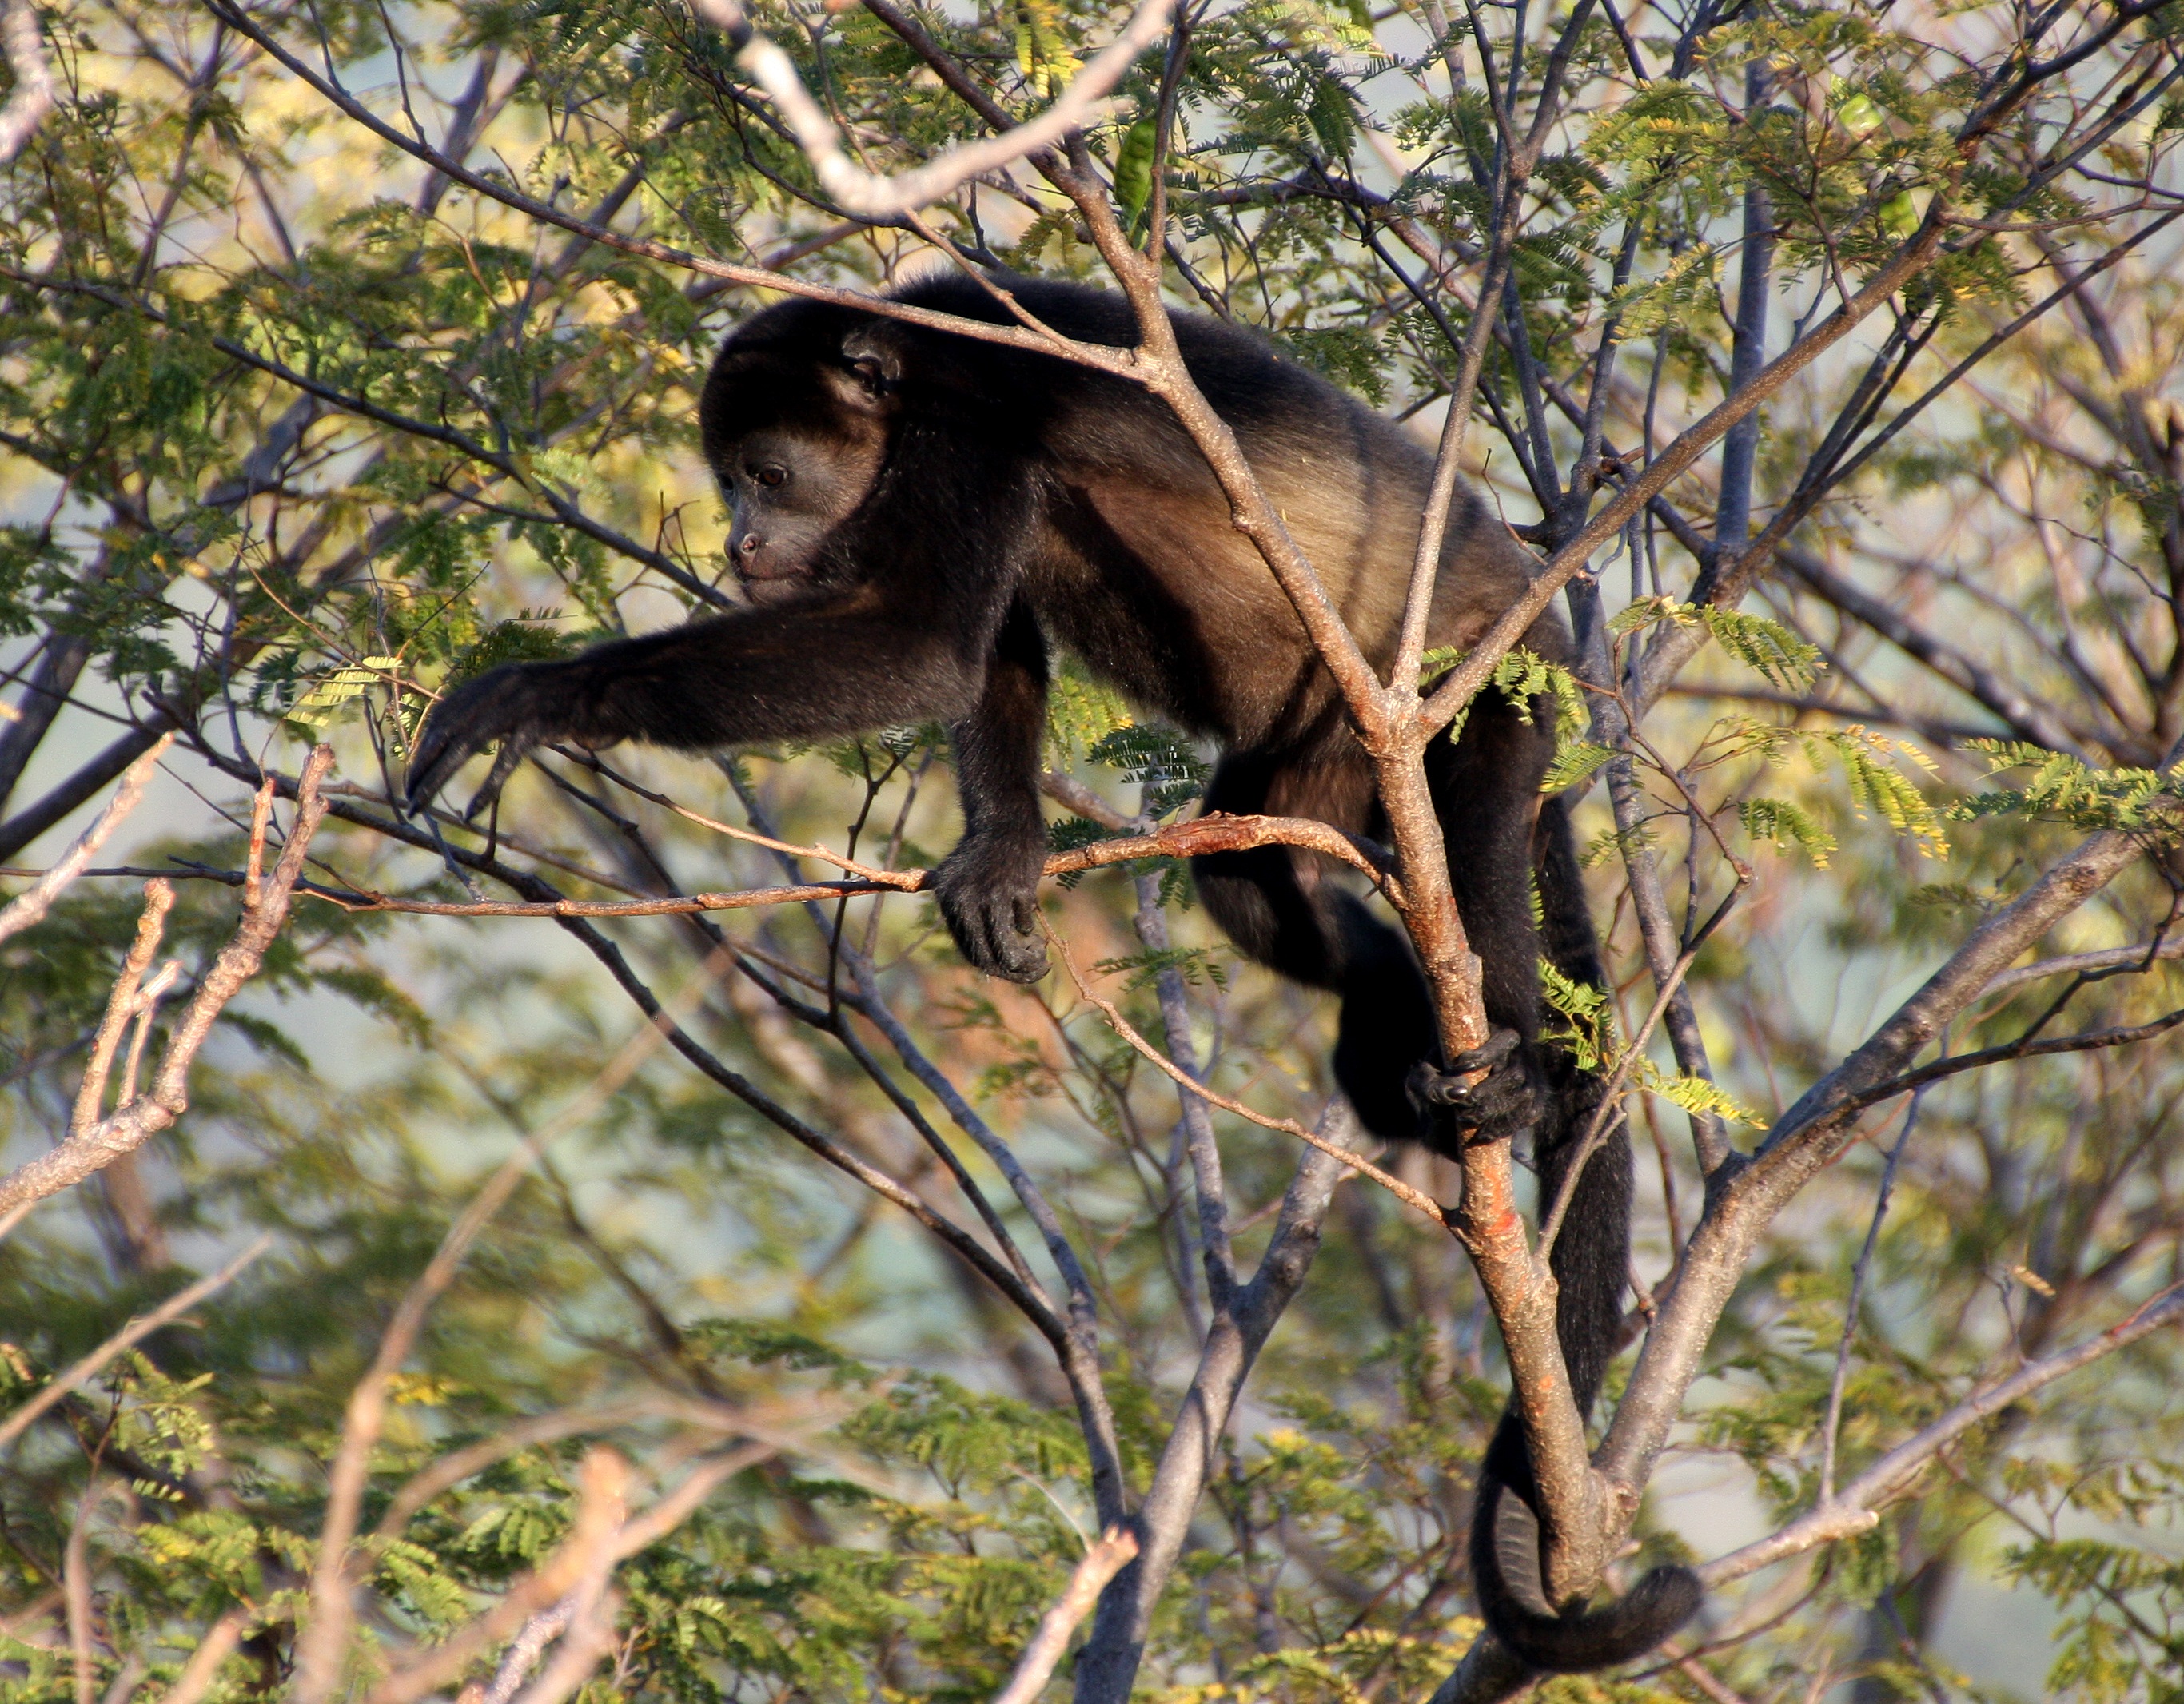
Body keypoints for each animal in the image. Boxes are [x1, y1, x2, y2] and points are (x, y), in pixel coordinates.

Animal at [410, 273, 1703, 1669]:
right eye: (729, 479)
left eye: (768, 472)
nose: (742, 542)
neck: (908, 371)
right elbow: (987, 651)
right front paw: (1000, 855)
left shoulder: (973, 425)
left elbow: (921, 640)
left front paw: (546, 694)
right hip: (1312, 758)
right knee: (1249, 875)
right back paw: (1386, 1026)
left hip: (1491, 692)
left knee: (1472, 851)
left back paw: (1511, 1065)